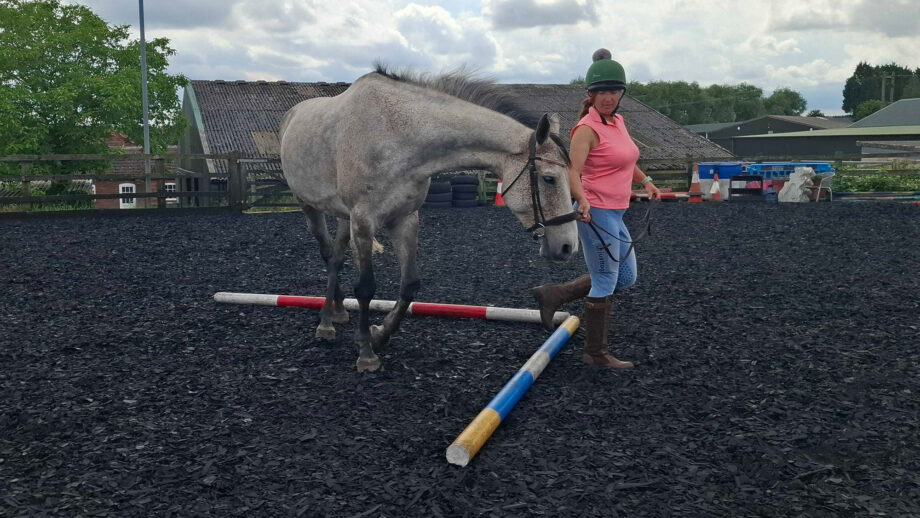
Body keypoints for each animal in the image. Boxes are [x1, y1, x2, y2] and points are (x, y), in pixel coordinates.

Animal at [279, 66, 579, 372]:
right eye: (549, 179)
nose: (568, 246)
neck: (396, 136)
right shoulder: (363, 222)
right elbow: (365, 288)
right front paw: (366, 353)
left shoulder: (405, 220)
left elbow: (410, 284)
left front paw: (379, 334)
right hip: (310, 206)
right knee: (328, 255)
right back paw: (326, 325)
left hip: (343, 217)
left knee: (336, 260)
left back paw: (335, 314)